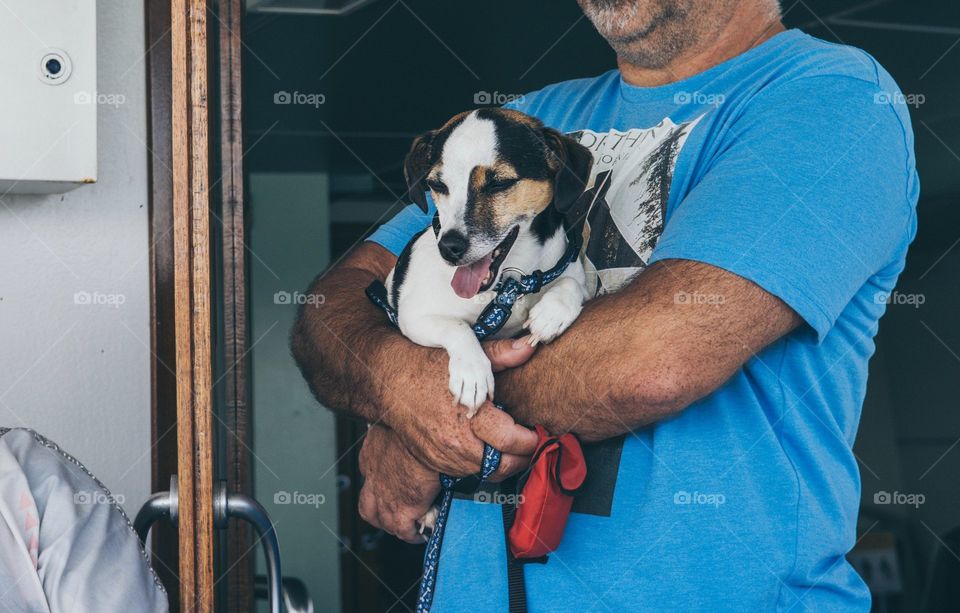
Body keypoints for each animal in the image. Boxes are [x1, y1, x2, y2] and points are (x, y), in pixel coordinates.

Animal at [386, 109, 596, 416]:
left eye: (499, 183)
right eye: (437, 185)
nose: (448, 248)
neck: (511, 283)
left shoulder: (574, 274)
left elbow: (570, 284)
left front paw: (550, 314)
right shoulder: (414, 318)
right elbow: (457, 327)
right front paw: (472, 373)